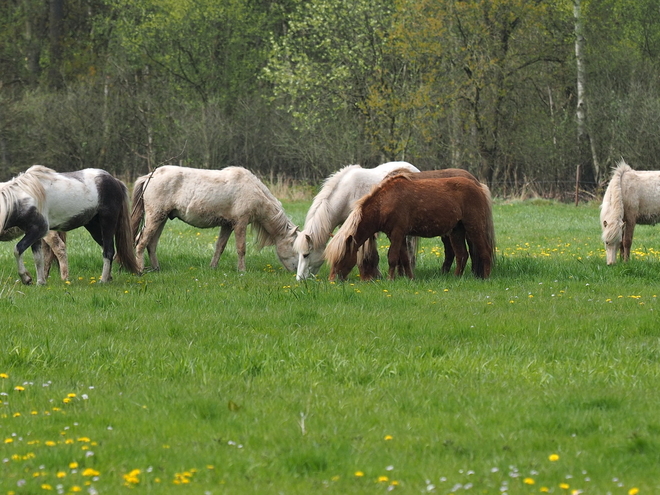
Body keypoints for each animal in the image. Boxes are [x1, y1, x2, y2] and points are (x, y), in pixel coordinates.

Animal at [0, 166, 138, 284]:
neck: (20, 198)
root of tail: (114, 180)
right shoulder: (33, 233)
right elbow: (38, 258)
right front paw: (40, 282)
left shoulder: (38, 230)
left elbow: (18, 250)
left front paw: (26, 278)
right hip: (93, 227)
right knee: (108, 250)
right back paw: (108, 278)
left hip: (107, 222)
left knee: (108, 251)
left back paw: (103, 280)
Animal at [131, 167, 300, 276]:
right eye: (294, 246)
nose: (296, 271)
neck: (253, 190)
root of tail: (149, 176)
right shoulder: (240, 223)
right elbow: (241, 248)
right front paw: (242, 271)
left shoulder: (227, 225)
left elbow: (220, 247)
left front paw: (212, 267)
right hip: (154, 217)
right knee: (141, 242)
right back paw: (140, 269)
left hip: (162, 218)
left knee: (152, 244)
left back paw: (156, 269)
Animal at [324, 176, 496, 280]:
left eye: (341, 257)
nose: (333, 280)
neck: (384, 203)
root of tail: (479, 186)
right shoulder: (396, 235)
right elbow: (405, 258)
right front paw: (410, 278)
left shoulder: (397, 233)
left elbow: (393, 257)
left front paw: (390, 279)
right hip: (456, 231)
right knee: (462, 255)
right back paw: (456, 278)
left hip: (474, 226)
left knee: (485, 251)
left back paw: (486, 277)